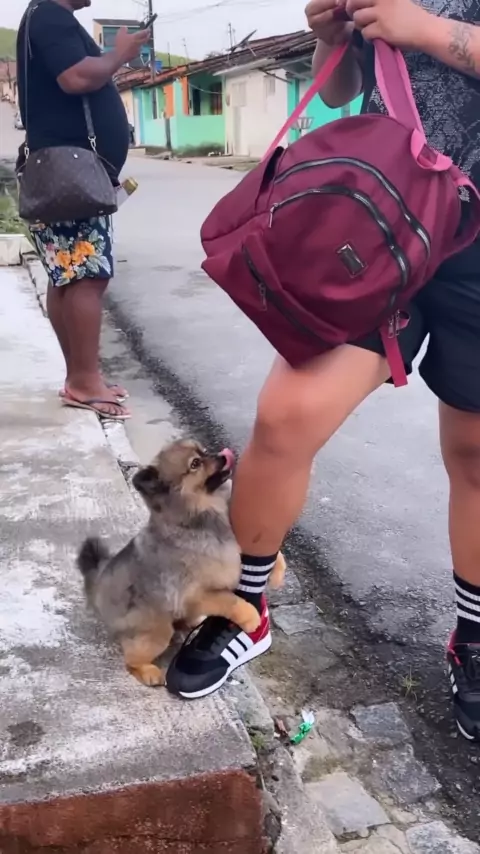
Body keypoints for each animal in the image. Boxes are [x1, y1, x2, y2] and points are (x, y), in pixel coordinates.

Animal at [77, 439, 286, 687]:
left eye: (203, 450)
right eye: (195, 464)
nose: (222, 456)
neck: (201, 515)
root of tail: (99, 590)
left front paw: (278, 570)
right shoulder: (194, 595)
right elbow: (230, 600)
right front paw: (249, 616)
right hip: (157, 630)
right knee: (131, 658)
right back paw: (148, 671)